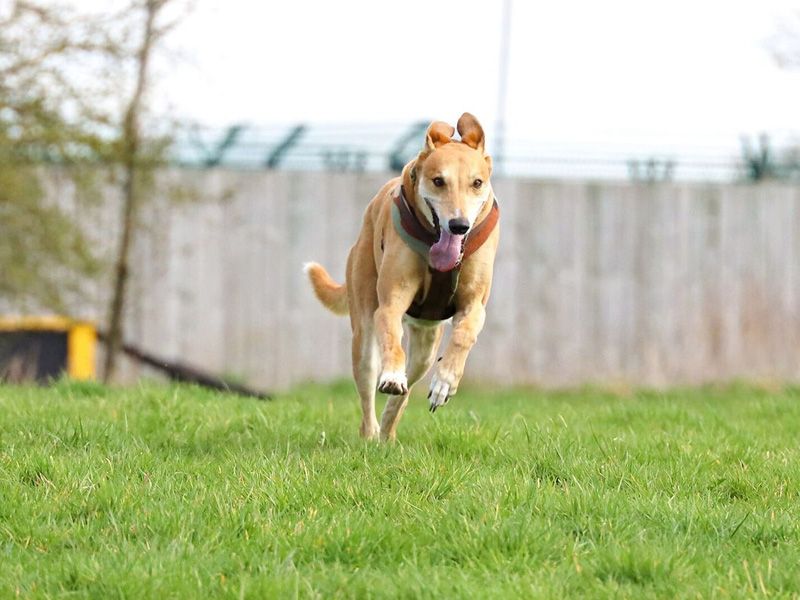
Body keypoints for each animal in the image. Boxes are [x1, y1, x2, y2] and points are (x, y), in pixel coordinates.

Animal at [306, 112, 500, 440]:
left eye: (477, 183)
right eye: (438, 181)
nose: (459, 225)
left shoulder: (474, 306)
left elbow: (464, 335)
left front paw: (444, 383)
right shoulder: (390, 303)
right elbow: (391, 337)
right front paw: (393, 375)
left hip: (426, 344)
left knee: (409, 386)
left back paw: (388, 429)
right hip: (362, 326)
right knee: (369, 383)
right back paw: (372, 432)